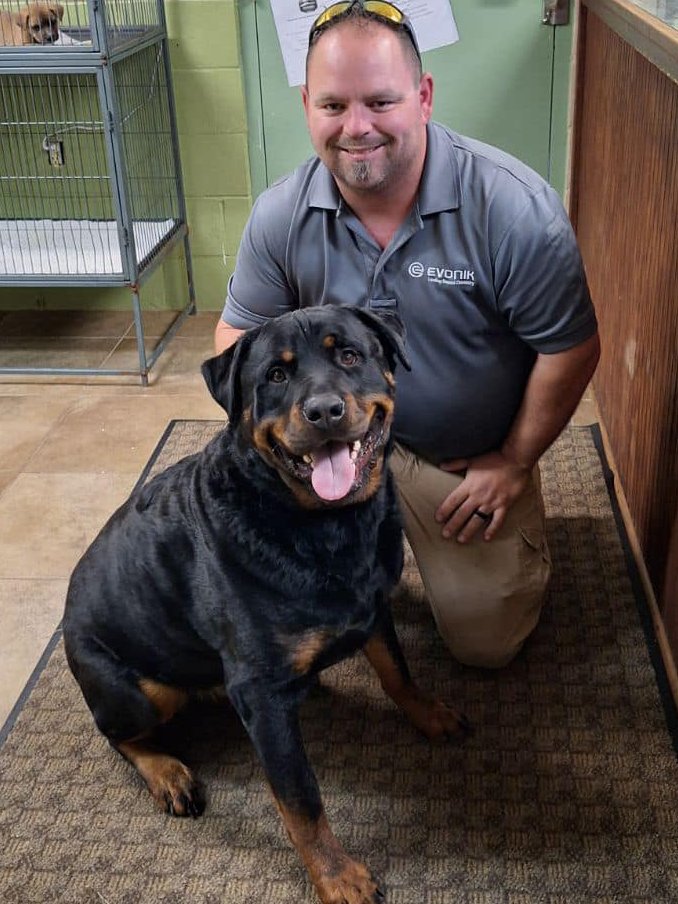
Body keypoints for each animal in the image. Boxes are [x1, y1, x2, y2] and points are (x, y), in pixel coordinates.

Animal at [63, 308, 470, 900]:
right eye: (275, 376)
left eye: (350, 355)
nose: (324, 410)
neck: (325, 525)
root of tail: (66, 619)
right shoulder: (259, 692)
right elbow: (300, 799)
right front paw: (338, 876)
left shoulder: (373, 608)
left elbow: (397, 671)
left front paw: (429, 712)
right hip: (142, 691)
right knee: (118, 734)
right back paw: (168, 773)